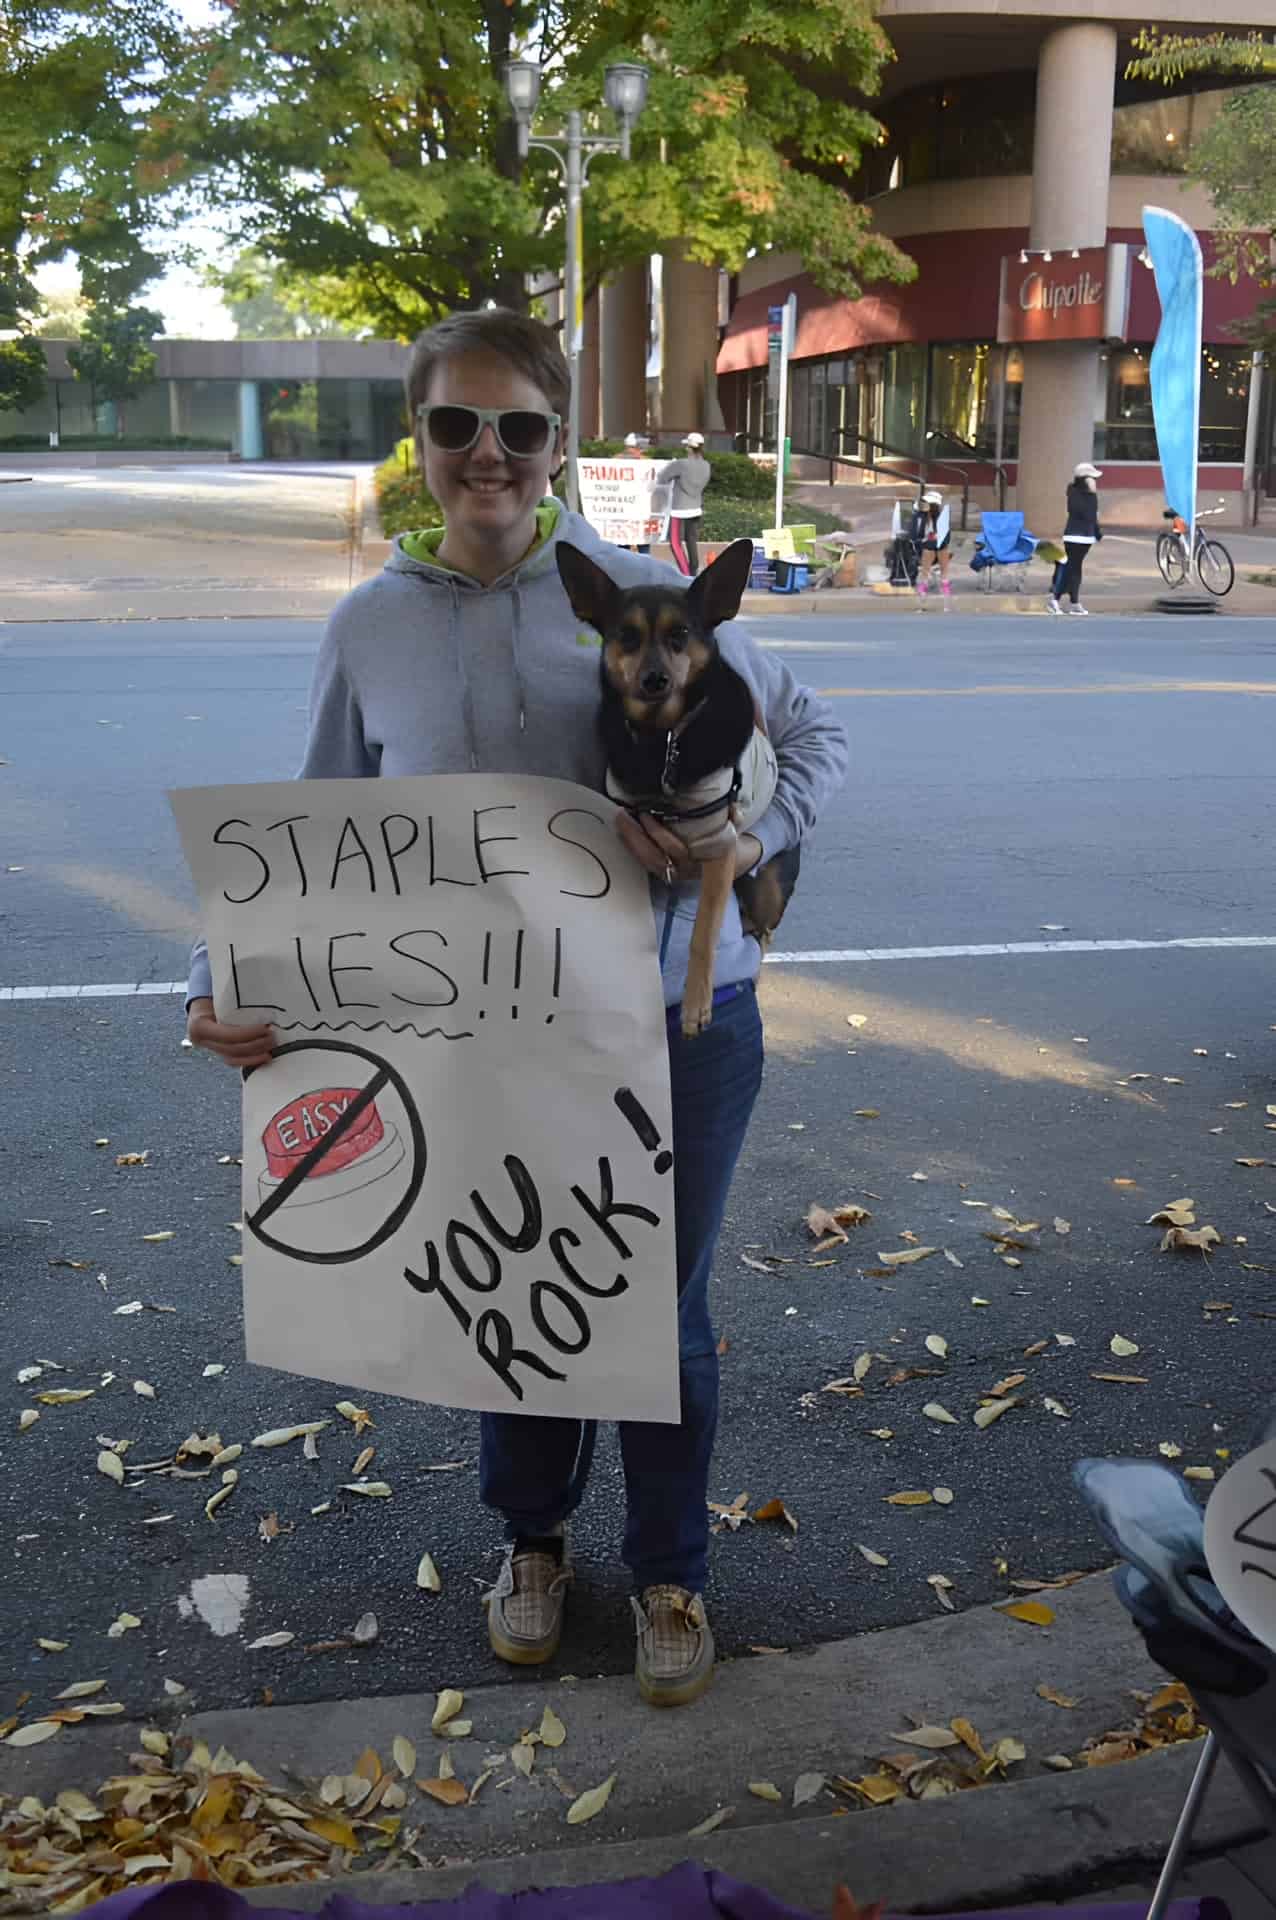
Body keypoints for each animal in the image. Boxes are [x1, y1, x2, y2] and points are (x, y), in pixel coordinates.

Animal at [556, 541, 798, 1036]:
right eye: (626, 636)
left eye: (681, 634)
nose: (654, 680)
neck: (662, 741)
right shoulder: (636, 843)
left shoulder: (719, 848)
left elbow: (703, 934)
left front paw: (694, 1006)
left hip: (766, 884)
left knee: (761, 931)